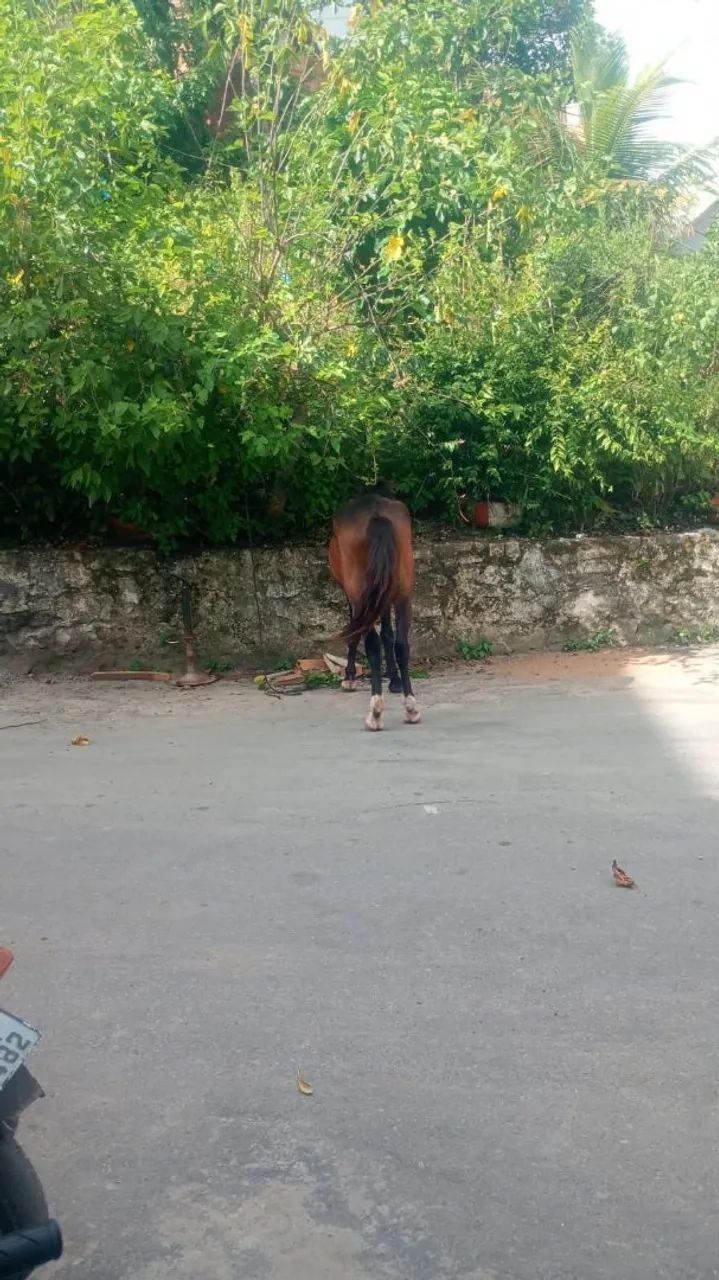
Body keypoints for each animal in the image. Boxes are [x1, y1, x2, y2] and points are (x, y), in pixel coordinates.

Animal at [329, 489, 420, 731]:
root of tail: (377, 514)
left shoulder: (354, 597)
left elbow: (355, 634)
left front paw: (349, 676)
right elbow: (388, 633)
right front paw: (395, 680)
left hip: (360, 594)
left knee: (371, 643)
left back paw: (375, 711)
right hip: (402, 592)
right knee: (402, 644)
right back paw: (411, 706)